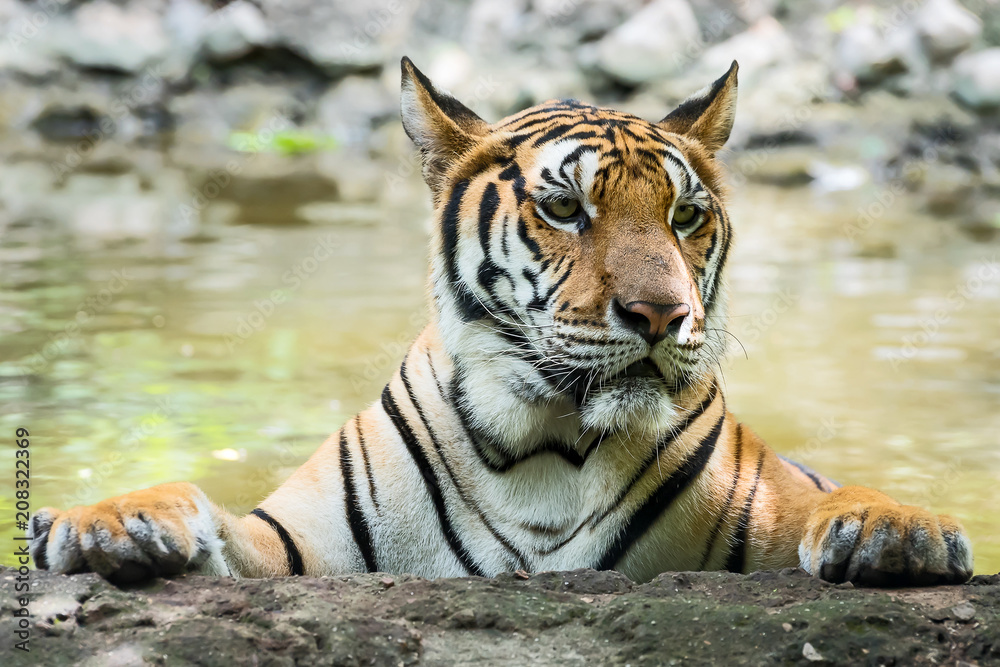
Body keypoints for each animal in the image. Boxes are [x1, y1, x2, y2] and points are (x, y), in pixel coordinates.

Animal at [27, 57, 973, 587]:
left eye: (685, 216)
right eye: (563, 208)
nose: (663, 313)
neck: (548, 440)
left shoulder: (773, 505)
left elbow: (838, 493)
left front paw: (900, 530)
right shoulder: (298, 543)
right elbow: (202, 505)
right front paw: (106, 520)